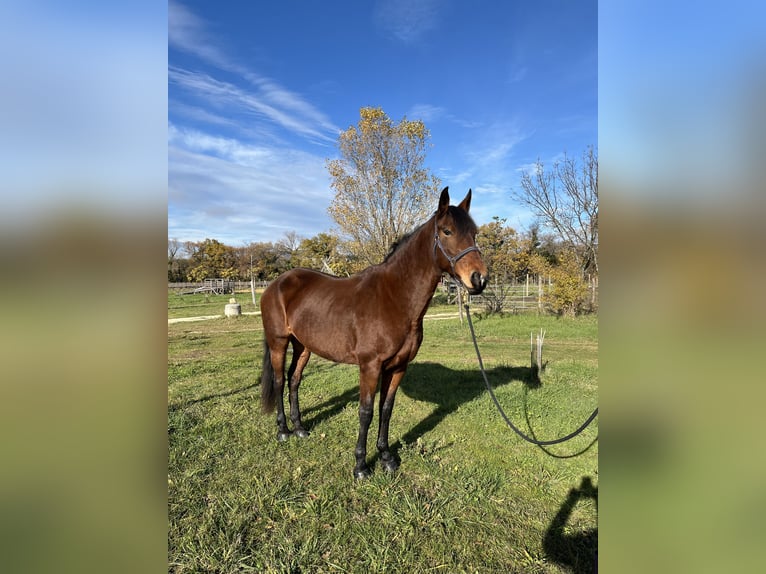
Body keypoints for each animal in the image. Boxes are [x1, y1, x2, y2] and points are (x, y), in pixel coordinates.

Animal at [259, 187, 488, 479]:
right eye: (447, 231)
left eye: (474, 233)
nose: (479, 279)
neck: (394, 298)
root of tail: (276, 283)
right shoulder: (369, 366)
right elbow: (366, 411)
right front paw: (360, 466)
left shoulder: (398, 367)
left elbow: (386, 410)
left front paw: (387, 458)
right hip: (279, 342)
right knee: (279, 380)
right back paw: (283, 431)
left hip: (303, 346)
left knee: (294, 380)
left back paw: (299, 428)